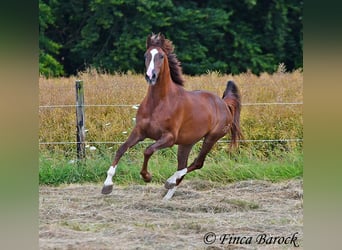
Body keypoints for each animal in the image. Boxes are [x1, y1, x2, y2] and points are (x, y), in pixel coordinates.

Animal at [100, 33, 242, 200]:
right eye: (146, 55)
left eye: (161, 56)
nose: (150, 76)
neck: (158, 103)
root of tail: (224, 103)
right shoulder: (139, 132)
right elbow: (121, 149)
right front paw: (107, 185)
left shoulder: (169, 138)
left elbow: (147, 150)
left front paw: (147, 176)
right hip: (186, 144)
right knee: (184, 165)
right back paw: (167, 195)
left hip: (211, 138)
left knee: (197, 163)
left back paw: (169, 181)